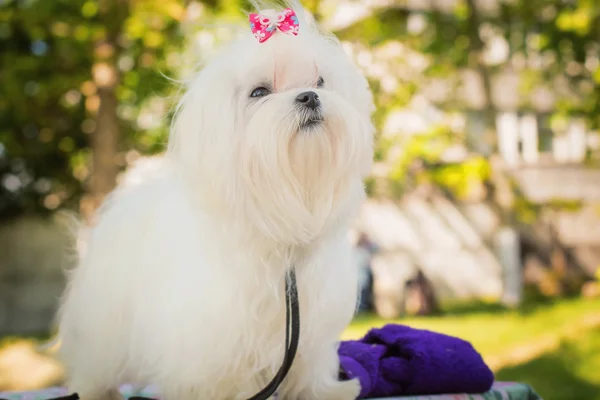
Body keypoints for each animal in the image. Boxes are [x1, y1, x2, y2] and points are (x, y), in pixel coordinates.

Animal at [57, 1, 376, 398]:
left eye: (320, 82)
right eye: (259, 92)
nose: (309, 96)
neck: (278, 224)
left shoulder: (308, 327)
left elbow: (309, 364)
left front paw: (324, 391)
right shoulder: (215, 331)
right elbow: (223, 371)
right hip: (104, 322)